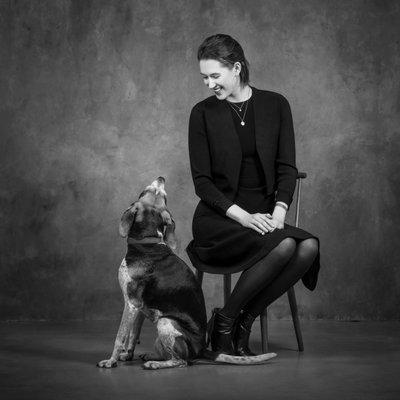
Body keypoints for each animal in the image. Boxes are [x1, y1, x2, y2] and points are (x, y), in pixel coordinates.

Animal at [97, 177, 276, 370]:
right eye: (157, 193)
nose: (161, 178)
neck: (148, 243)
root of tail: (201, 350)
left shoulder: (131, 304)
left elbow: (120, 336)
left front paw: (111, 360)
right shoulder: (139, 308)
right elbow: (133, 335)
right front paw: (128, 355)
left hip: (165, 322)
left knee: (181, 361)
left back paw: (155, 363)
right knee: (172, 355)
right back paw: (152, 356)